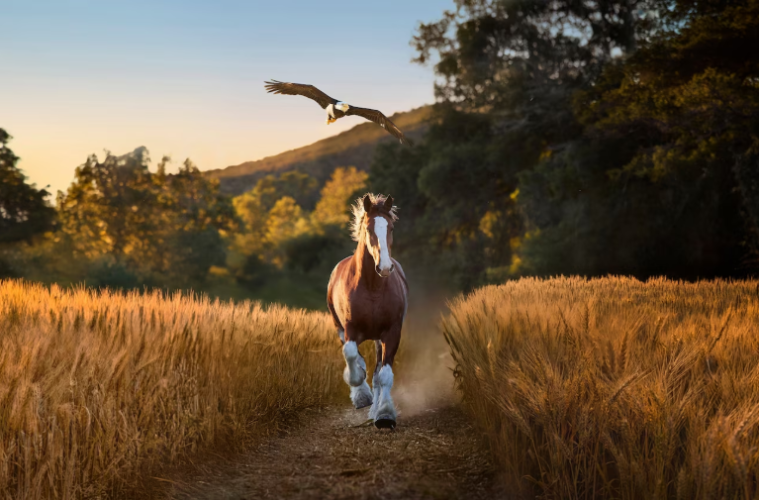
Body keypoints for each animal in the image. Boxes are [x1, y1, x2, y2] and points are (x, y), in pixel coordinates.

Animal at [327, 193, 408, 429]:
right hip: (340, 328)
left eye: (391, 227)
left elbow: (384, 375)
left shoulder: (392, 332)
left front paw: (385, 415)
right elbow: (351, 355)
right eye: (369, 228)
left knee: (378, 372)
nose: (385, 268)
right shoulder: (350, 330)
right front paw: (360, 393)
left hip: (378, 339)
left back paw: (375, 410)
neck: (372, 286)